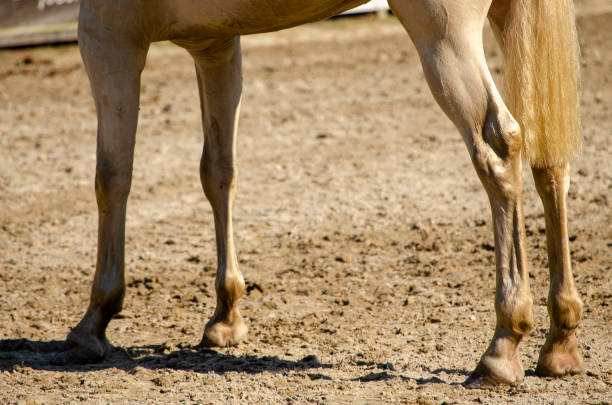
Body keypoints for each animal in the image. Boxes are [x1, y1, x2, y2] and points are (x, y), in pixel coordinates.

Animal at [59, 0, 584, 386]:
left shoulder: (108, 35)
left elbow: (112, 177)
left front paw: (94, 321)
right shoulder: (214, 43)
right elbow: (218, 173)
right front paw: (226, 315)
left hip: (446, 37)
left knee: (499, 149)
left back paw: (502, 347)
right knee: (547, 161)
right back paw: (560, 343)